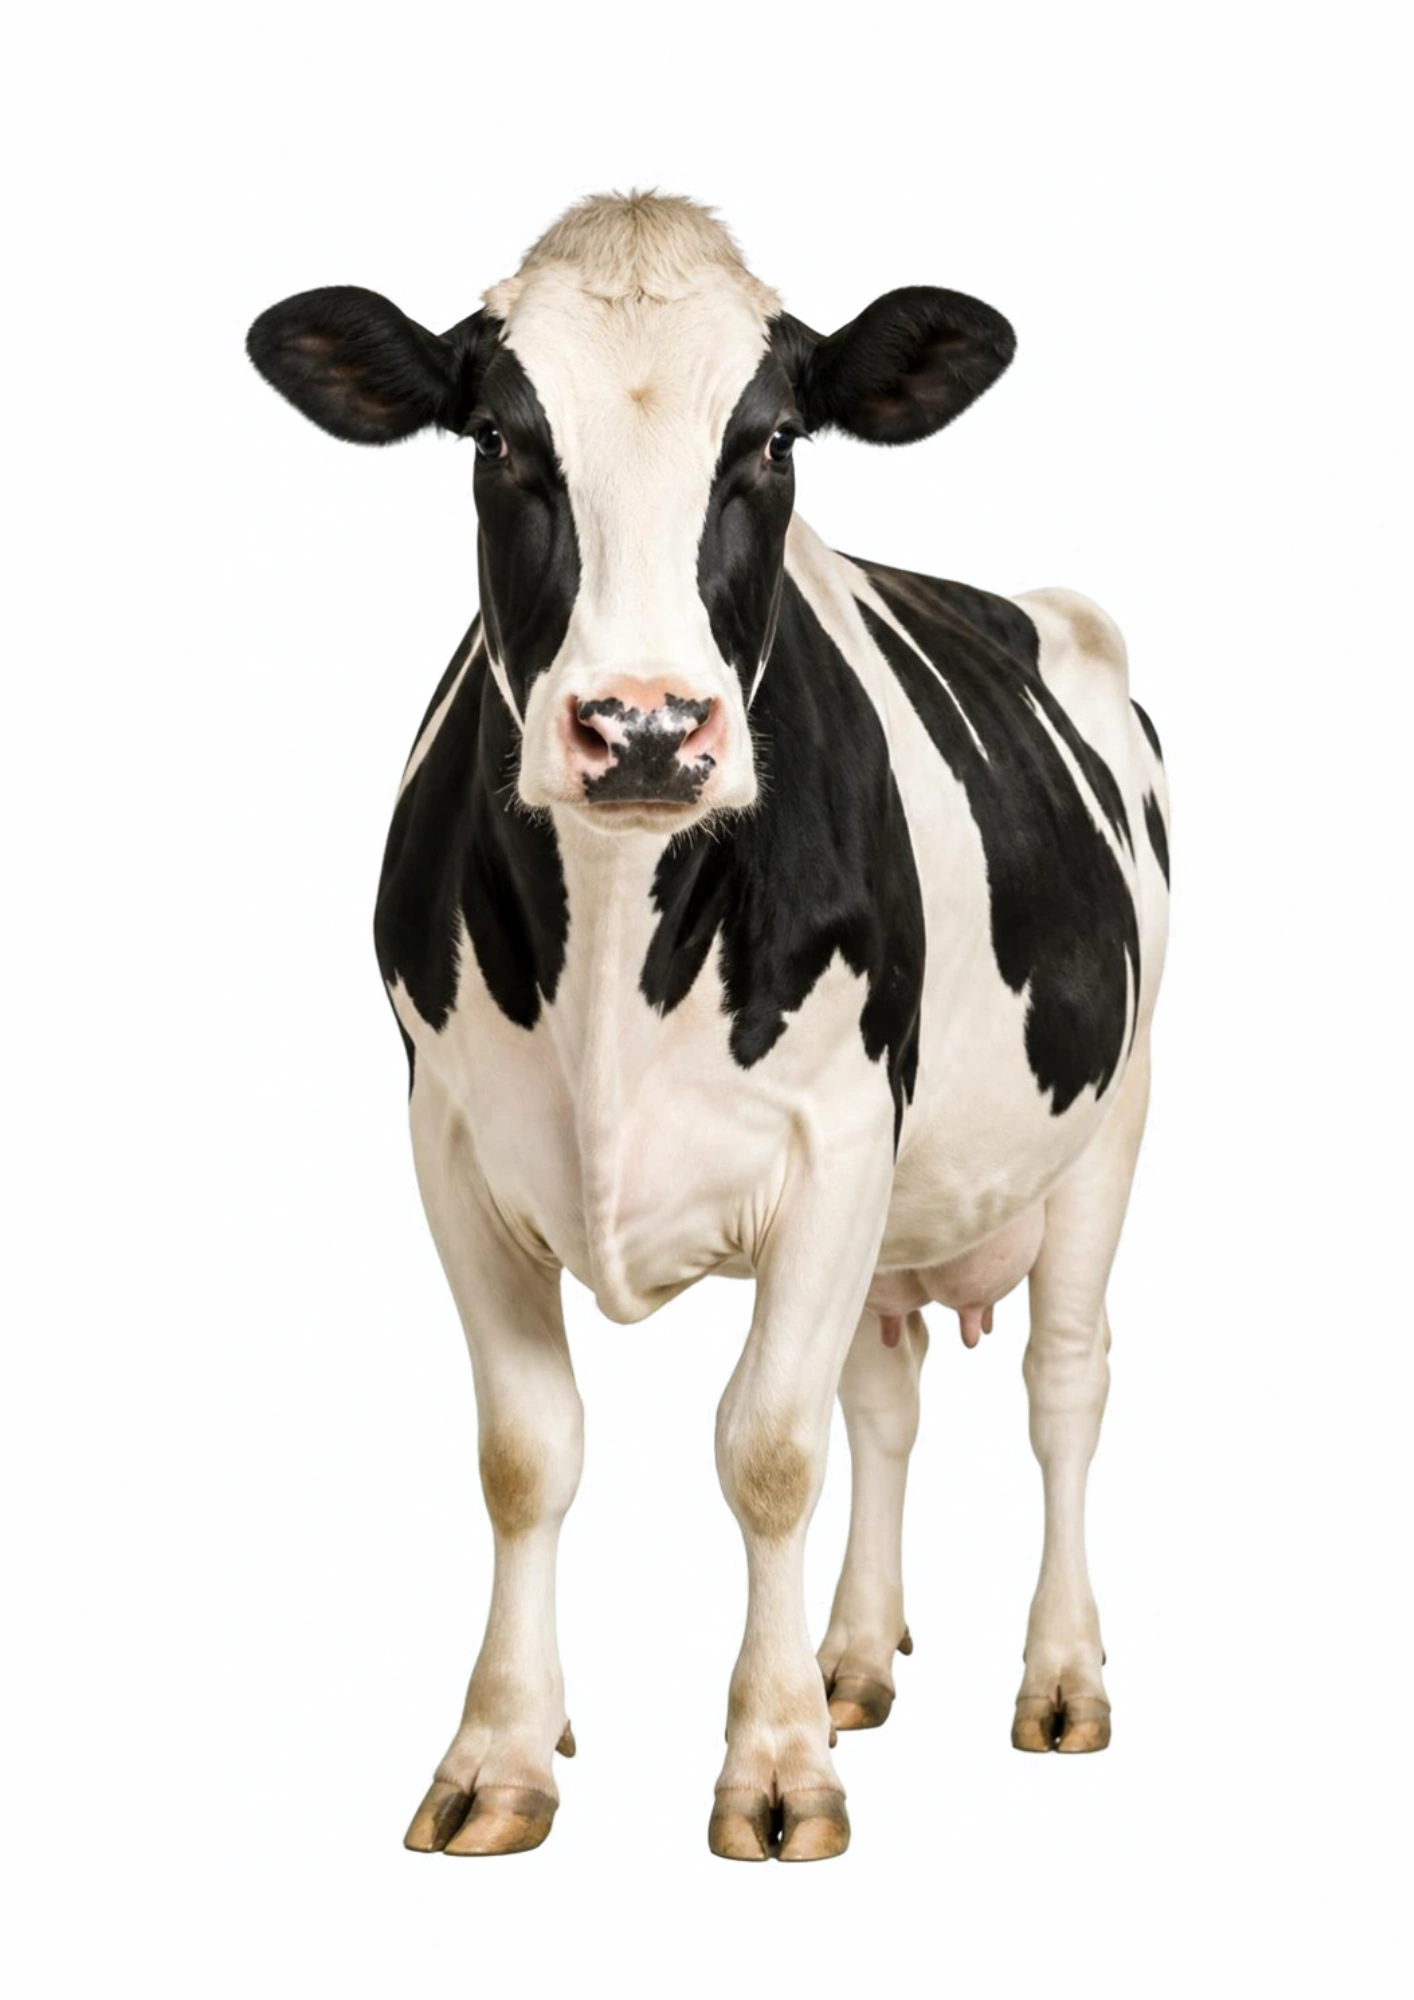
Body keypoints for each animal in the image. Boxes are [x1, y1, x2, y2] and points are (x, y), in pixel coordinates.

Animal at [247, 191, 1170, 1863]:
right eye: (498, 438)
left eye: (772, 441)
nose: (645, 729)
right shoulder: (451, 1147)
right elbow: (529, 1454)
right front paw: (505, 1750)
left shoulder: (835, 1144)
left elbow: (767, 1450)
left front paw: (776, 1768)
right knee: (885, 1394)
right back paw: (852, 1660)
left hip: (1109, 1121)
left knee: (1062, 1385)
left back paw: (1058, 1679)